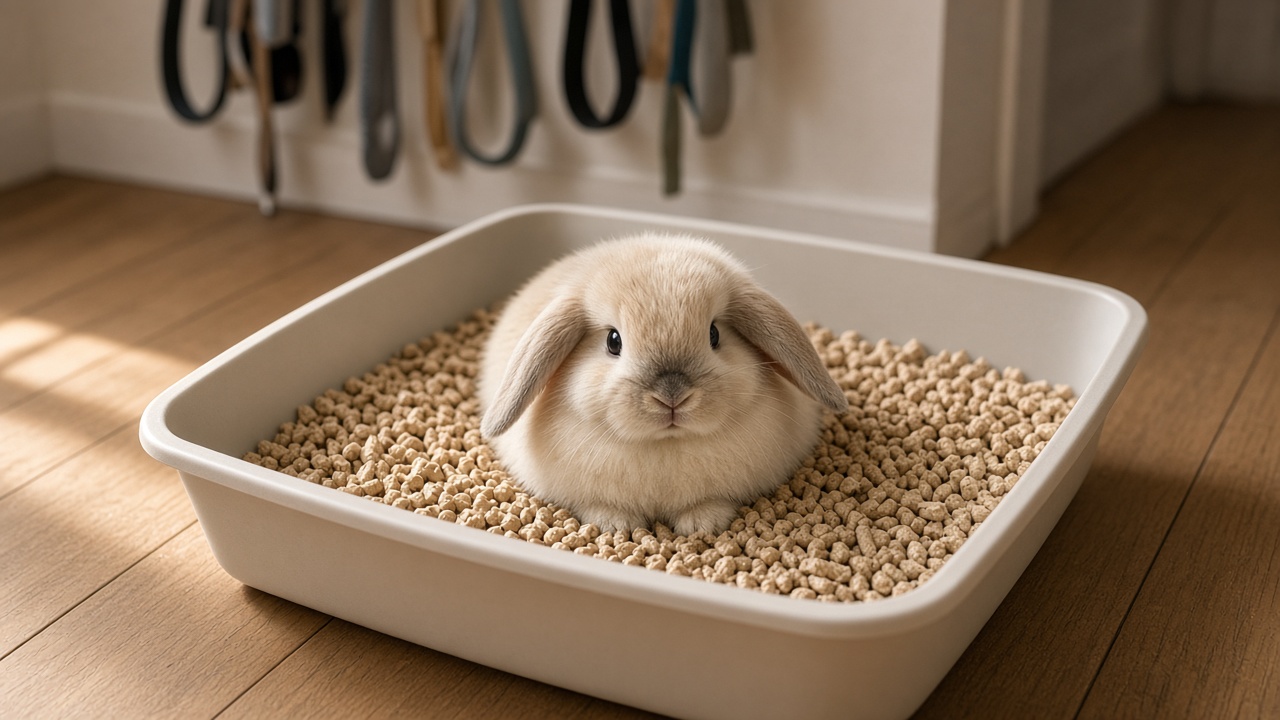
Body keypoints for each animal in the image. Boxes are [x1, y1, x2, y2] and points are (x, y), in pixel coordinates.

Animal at [477, 233, 849, 536]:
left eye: (714, 334)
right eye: (613, 341)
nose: (672, 397)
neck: (664, 445)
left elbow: (709, 505)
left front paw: (700, 525)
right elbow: (601, 508)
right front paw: (617, 526)